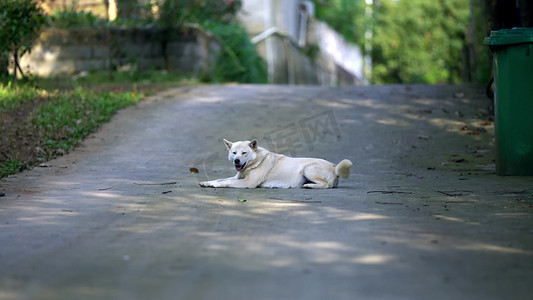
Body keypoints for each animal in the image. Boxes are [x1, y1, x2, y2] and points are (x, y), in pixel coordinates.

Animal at [197, 139, 352, 189]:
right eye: (234, 153)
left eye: (244, 153)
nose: (236, 161)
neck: (255, 162)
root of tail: (334, 166)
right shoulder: (237, 177)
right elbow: (220, 179)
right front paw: (207, 182)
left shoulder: (247, 183)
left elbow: (225, 182)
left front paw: (214, 185)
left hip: (307, 168)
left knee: (326, 185)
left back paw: (309, 186)